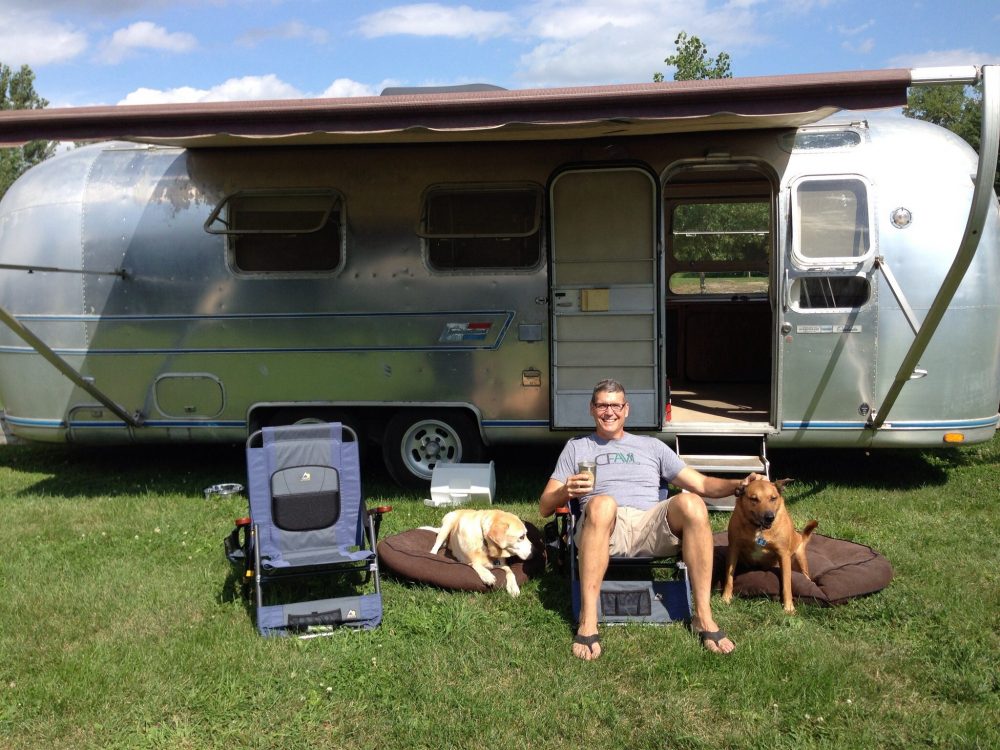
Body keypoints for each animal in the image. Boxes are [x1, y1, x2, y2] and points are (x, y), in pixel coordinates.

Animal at [722, 478, 818, 614]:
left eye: (773, 498)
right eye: (754, 499)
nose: (769, 517)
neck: (759, 529)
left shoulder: (783, 555)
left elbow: (787, 583)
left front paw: (788, 606)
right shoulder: (733, 548)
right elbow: (729, 577)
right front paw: (726, 597)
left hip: (799, 557)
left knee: (806, 576)